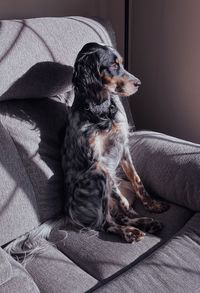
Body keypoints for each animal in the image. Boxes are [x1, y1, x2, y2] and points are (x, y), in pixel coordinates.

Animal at [61, 41, 170, 242]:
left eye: (121, 63)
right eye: (112, 65)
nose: (138, 83)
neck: (100, 111)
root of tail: (70, 214)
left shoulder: (123, 146)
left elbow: (137, 180)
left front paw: (152, 205)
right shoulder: (99, 163)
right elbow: (122, 201)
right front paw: (135, 213)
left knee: (117, 215)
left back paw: (147, 223)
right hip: (97, 177)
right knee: (106, 223)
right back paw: (130, 231)